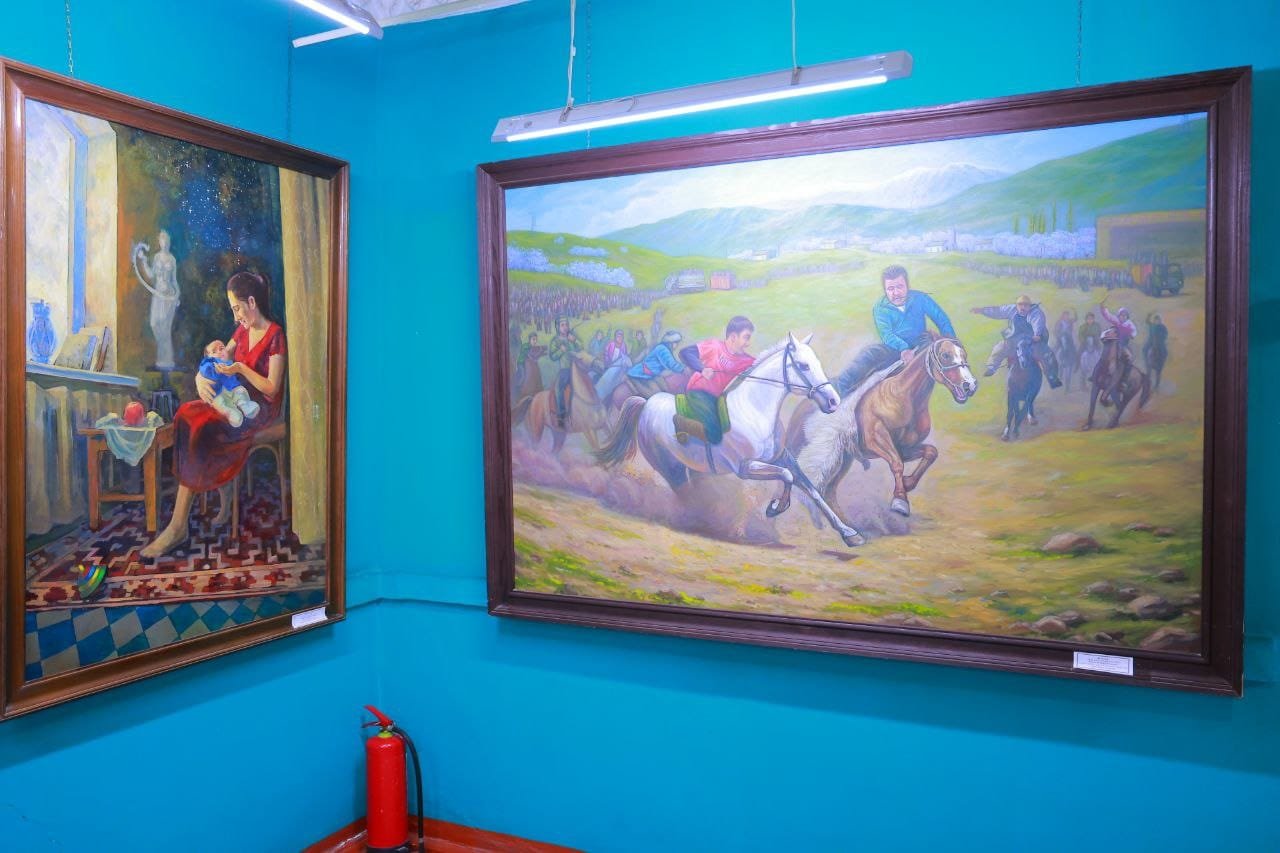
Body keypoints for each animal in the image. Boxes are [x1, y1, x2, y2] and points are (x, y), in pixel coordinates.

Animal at [594, 333, 866, 547]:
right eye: (803, 365)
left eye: (816, 362)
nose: (833, 400)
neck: (754, 409)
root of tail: (645, 403)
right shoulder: (746, 467)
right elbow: (787, 477)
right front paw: (775, 507)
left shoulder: (783, 457)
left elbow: (810, 488)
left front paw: (849, 533)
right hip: (669, 467)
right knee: (684, 493)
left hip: (693, 467)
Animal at [783, 337, 977, 525]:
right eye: (945, 355)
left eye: (964, 355)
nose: (970, 385)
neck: (903, 398)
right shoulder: (877, 439)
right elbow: (897, 464)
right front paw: (900, 500)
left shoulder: (905, 448)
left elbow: (931, 452)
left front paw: (907, 483)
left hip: (842, 461)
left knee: (829, 491)